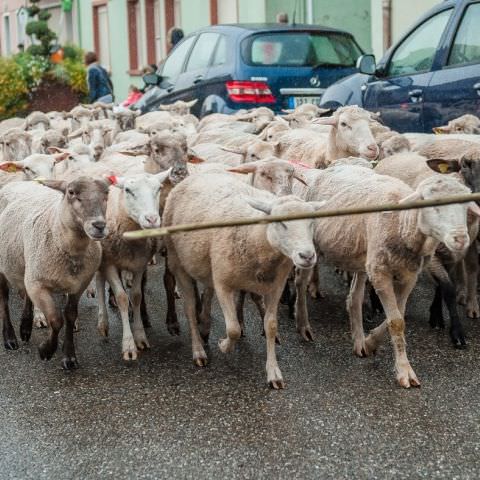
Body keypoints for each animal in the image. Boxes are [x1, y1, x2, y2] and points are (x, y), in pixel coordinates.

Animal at [0, 176, 109, 368]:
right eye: (71, 192)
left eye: (107, 193)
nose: (99, 225)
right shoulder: (39, 285)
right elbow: (56, 319)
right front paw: (46, 350)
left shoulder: (79, 285)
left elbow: (70, 316)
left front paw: (69, 356)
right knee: (4, 299)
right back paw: (10, 338)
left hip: (27, 265)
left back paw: (25, 328)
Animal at [94, 171, 173, 358]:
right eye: (128, 190)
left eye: (159, 188)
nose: (152, 219)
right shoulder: (109, 263)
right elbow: (122, 297)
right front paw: (129, 345)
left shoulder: (139, 264)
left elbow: (136, 296)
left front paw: (140, 337)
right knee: (99, 281)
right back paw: (103, 322)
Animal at [163, 174, 324, 388]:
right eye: (280, 222)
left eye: (312, 222)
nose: (307, 256)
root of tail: (195, 176)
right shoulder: (224, 284)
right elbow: (233, 329)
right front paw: (224, 346)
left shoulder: (275, 287)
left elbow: (271, 326)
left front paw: (273, 372)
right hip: (177, 261)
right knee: (189, 308)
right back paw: (198, 350)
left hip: (208, 264)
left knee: (207, 292)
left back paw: (205, 326)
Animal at [294, 163, 478, 388]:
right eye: (432, 204)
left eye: (464, 205)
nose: (460, 239)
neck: (403, 223)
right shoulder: (381, 273)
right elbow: (396, 321)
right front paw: (404, 370)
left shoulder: (408, 275)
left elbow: (399, 314)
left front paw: (370, 342)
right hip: (312, 248)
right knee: (300, 283)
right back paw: (303, 325)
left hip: (362, 257)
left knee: (354, 297)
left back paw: (359, 341)